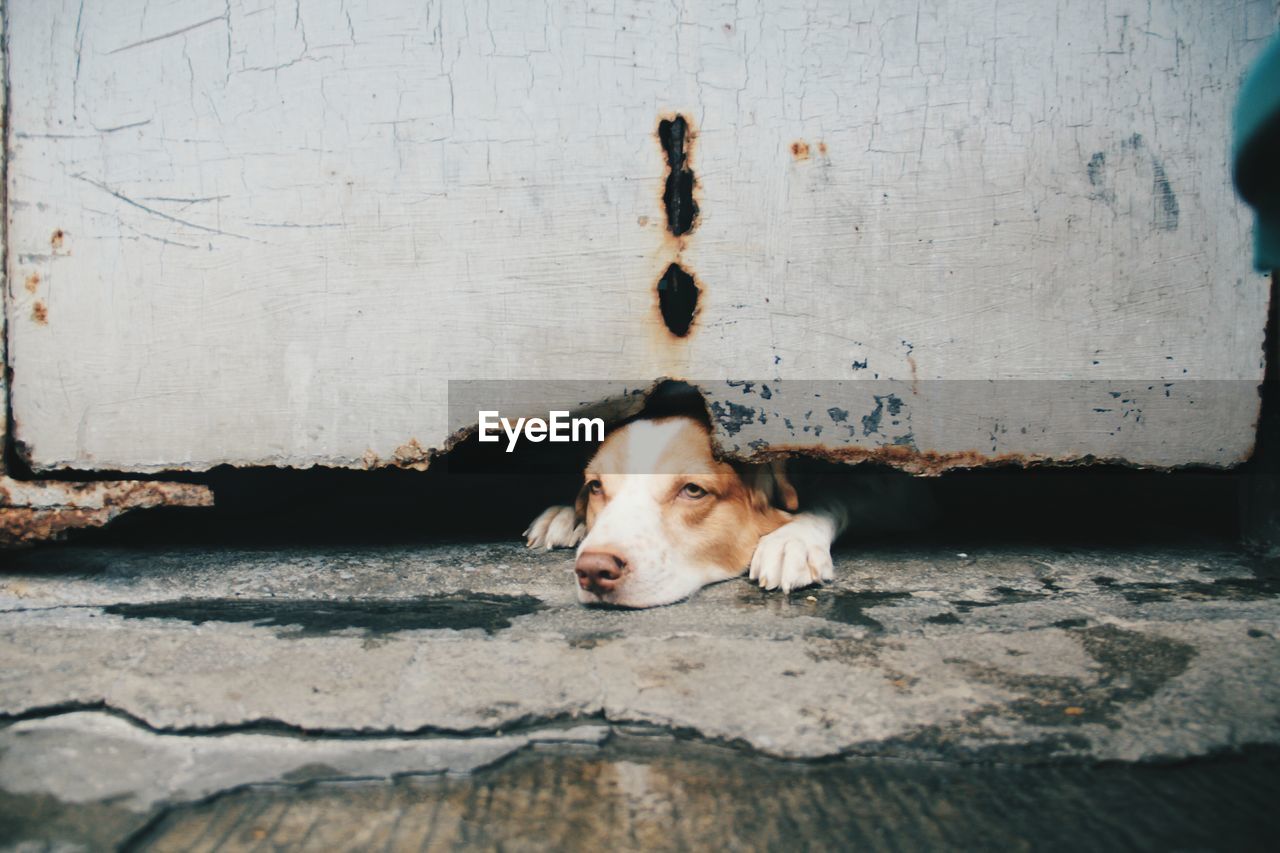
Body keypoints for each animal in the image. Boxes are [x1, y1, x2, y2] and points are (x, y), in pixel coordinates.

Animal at [522, 409, 931, 604]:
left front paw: (793, 540)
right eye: (595, 487)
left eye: (692, 490)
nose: (593, 570)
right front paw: (565, 515)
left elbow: (835, 495)